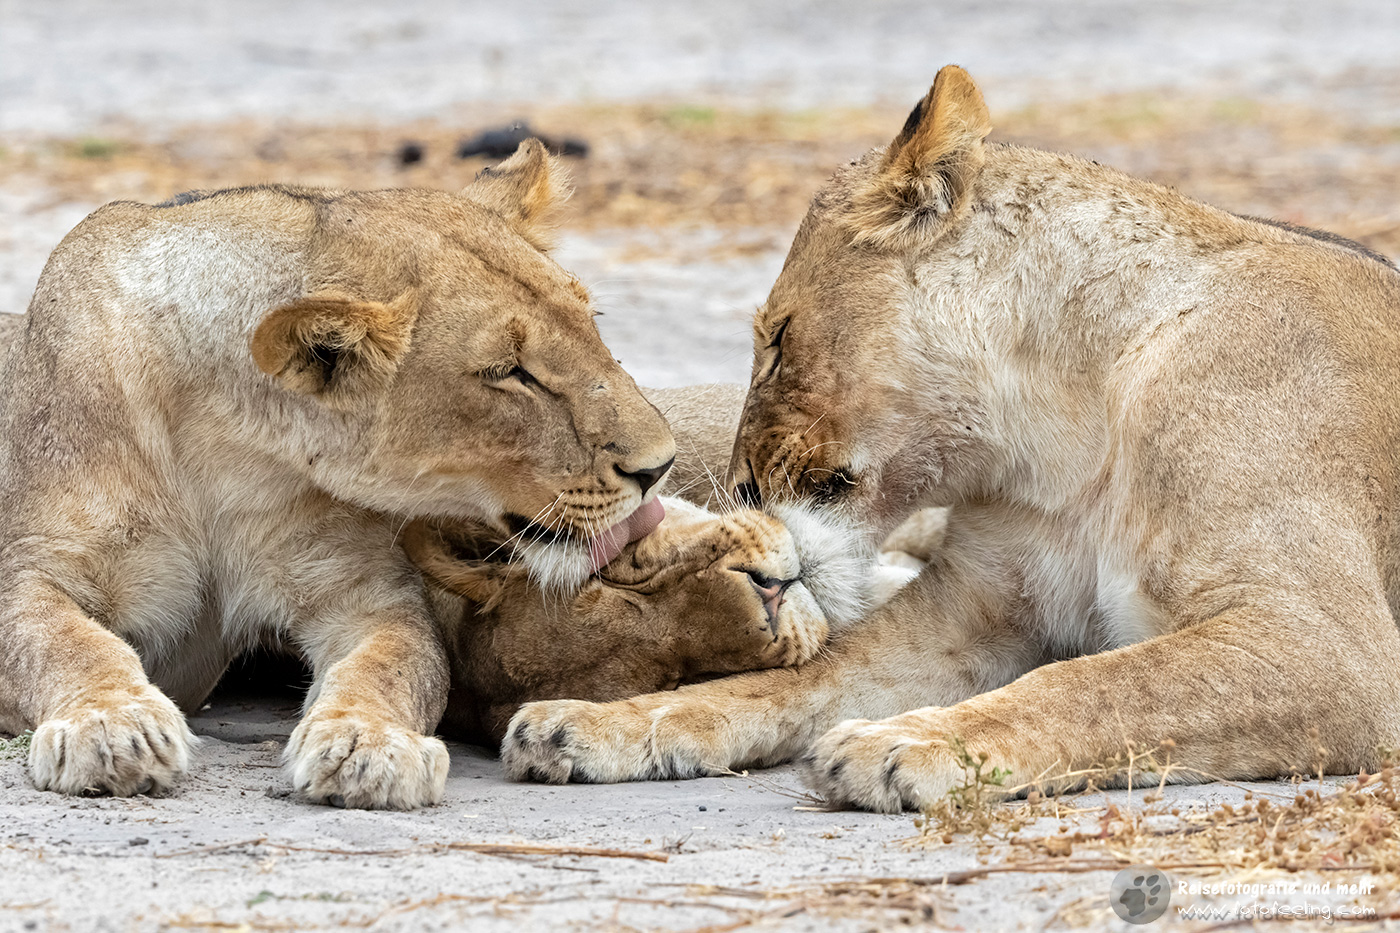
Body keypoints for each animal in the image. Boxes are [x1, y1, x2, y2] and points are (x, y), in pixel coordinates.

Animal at [0, 140, 676, 809]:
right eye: (509, 373)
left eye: (592, 320)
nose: (660, 465)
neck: (225, 448)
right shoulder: (32, 566)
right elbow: (65, 642)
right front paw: (111, 726)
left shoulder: (368, 594)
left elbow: (391, 666)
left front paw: (366, 743)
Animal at [502, 66, 1400, 812]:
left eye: (779, 339)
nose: (743, 490)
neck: (1062, 435)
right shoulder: (971, 609)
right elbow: (787, 680)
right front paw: (598, 723)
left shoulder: (1332, 647)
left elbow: (1099, 684)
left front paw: (908, 741)